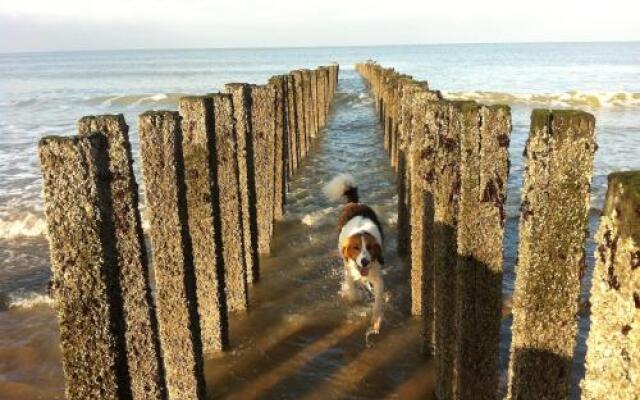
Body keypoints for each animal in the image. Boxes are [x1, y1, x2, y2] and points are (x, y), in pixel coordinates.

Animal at [324, 173, 384, 346]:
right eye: (356, 248)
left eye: (369, 247)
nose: (364, 261)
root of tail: (354, 202)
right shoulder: (350, 270)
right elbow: (351, 286)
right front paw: (353, 296)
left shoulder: (377, 275)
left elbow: (378, 300)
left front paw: (376, 321)